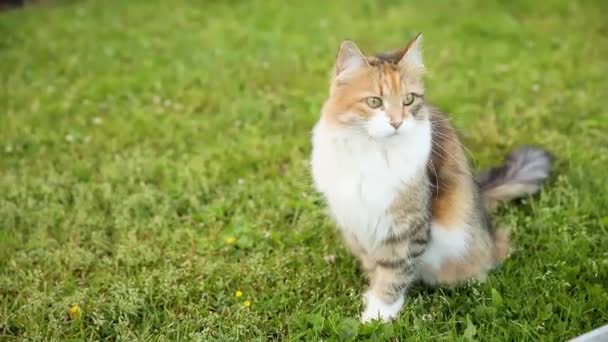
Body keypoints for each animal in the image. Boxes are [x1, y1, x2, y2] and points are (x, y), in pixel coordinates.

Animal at [312, 33, 552, 322]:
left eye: (408, 100)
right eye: (374, 102)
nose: (396, 123)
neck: (372, 152)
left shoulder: (406, 227)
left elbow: (394, 274)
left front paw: (378, 316)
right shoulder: (357, 224)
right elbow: (374, 267)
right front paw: (372, 297)